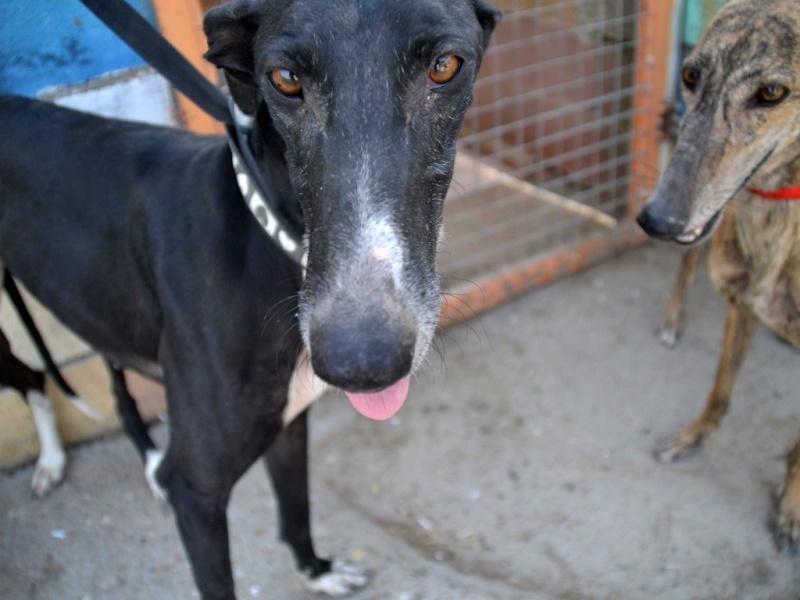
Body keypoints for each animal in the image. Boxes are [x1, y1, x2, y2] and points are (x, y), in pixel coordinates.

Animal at [0, 2, 500, 596]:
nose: (362, 361)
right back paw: (54, 463)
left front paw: (317, 571)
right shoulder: (197, 494)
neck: (265, 231)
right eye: (284, 79)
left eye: (445, 66)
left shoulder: (287, 425)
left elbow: (296, 509)